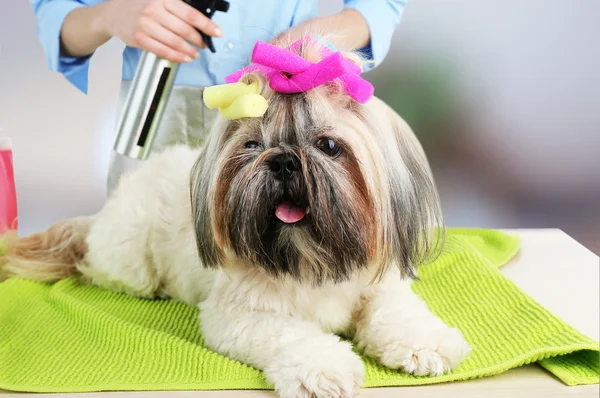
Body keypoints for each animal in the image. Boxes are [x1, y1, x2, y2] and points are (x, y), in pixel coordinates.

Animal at [0, 35, 472, 396]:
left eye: (328, 146)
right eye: (252, 145)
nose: (283, 161)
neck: (312, 259)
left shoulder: (379, 286)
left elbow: (398, 313)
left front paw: (426, 344)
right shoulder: (244, 315)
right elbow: (296, 336)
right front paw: (324, 368)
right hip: (130, 261)